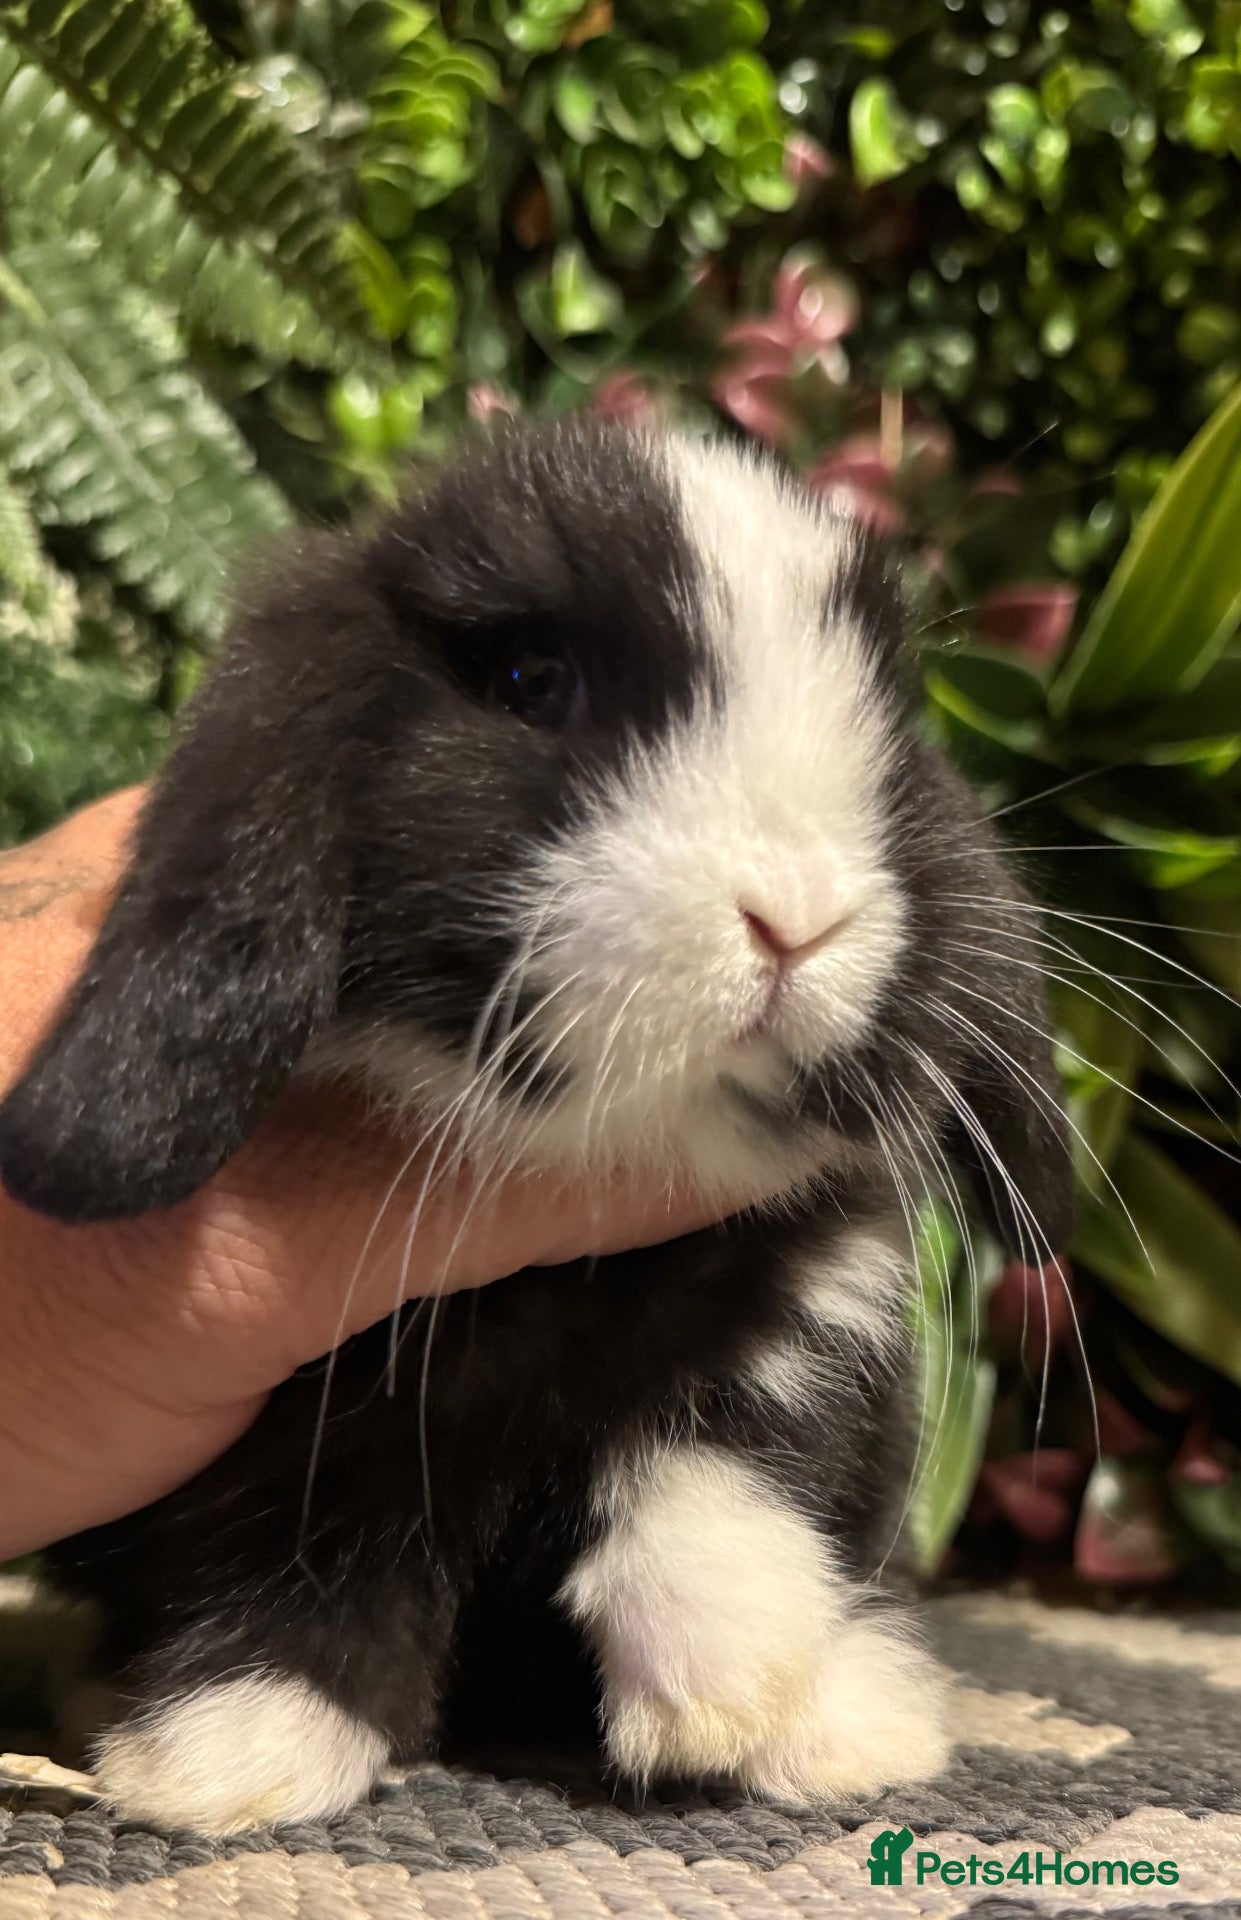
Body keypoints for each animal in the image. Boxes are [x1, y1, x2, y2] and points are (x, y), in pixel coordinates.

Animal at [0, 419, 1072, 1835]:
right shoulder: (286, 1430)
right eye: (527, 679)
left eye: (888, 731)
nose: (795, 914)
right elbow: (294, 1562)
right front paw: (233, 1757)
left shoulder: (807, 1316)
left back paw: (855, 1722)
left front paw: (721, 1686)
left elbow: (725, 1463)